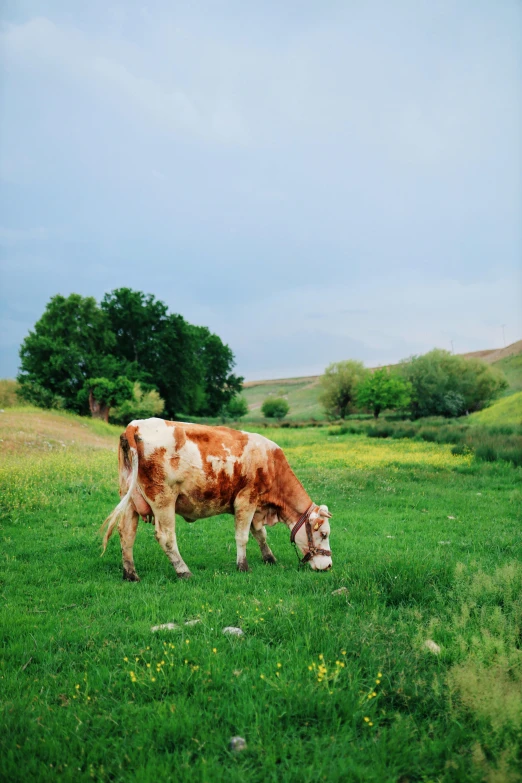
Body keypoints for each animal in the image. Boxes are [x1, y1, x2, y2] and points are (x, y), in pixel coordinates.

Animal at [99, 416, 332, 580]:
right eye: (324, 534)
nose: (329, 566)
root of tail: (135, 425)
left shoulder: (256, 506)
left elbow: (260, 535)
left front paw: (270, 558)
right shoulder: (246, 499)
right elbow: (243, 536)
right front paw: (243, 566)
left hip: (129, 499)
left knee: (126, 533)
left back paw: (131, 574)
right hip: (163, 499)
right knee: (165, 537)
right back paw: (184, 571)